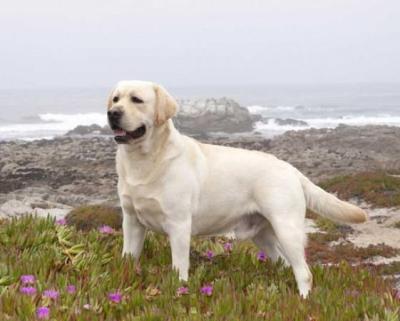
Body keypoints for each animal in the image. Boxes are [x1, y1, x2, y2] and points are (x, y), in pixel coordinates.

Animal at [108, 80, 368, 296]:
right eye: (115, 98)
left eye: (136, 99)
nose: (112, 113)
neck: (144, 161)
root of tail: (291, 169)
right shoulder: (132, 221)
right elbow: (128, 256)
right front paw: (123, 276)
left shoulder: (179, 224)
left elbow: (179, 266)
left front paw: (180, 289)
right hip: (263, 235)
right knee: (284, 263)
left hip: (287, 228)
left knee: (304, 272)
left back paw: (303, 301)